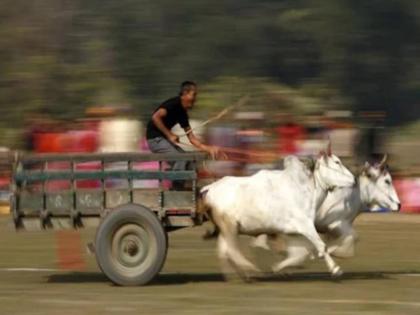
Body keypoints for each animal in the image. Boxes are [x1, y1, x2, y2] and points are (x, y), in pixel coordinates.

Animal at [200, 150, 354, 278]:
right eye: (337, 162)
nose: (353, 179)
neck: (304, 188)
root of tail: (210, 188)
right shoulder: (306, 226)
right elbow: (322, 246)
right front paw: (336, 269)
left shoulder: (295, 233)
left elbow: (299, 254)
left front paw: (278, 268)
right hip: (230, 226)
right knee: (231, 250)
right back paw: (250, 270)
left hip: (226, 229)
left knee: (223, 251)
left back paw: (234, 275)